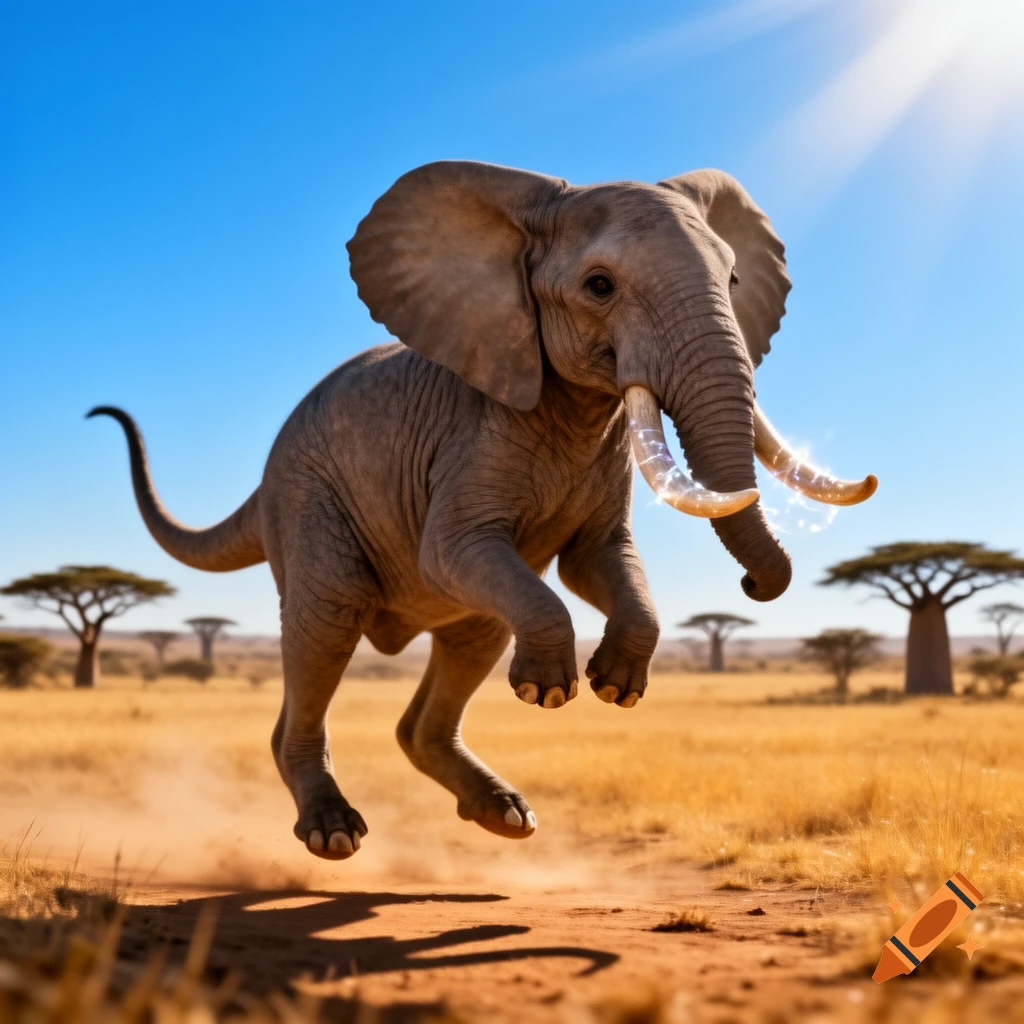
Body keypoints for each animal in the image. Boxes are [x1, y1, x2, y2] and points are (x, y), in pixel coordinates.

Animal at [90, 161, 875, 860]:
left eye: (734, 282)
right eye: (599, 286)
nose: (753, 586)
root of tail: (262, 480)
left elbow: (597, 560)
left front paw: (614, 687)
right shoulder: (475, 431)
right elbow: (452, 550)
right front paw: (549, 692)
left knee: (472, 633)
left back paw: (507, 815)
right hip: (307, 498)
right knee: (328, 617)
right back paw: (333, 833)